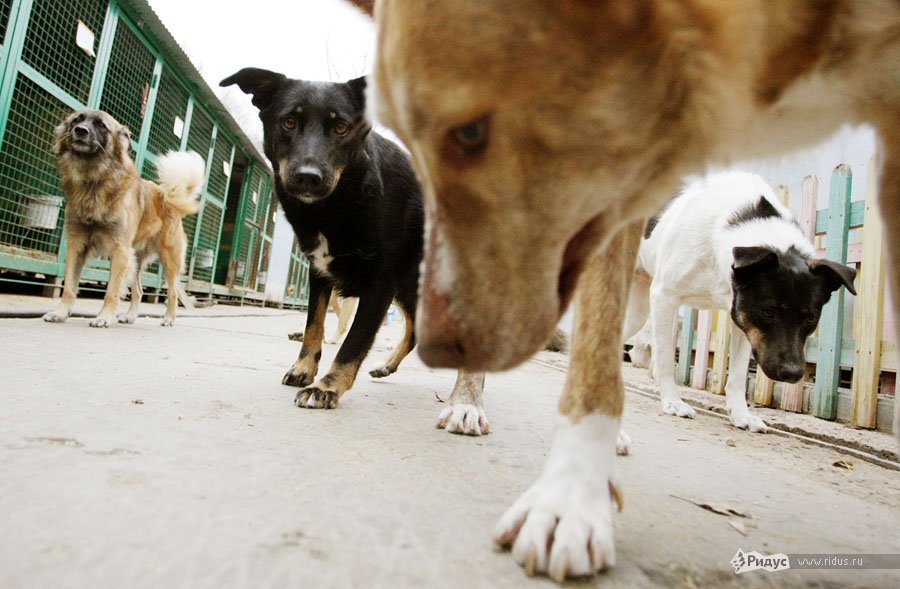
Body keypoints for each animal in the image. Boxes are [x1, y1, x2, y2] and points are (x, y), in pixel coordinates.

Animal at [44, 109, 205, 328]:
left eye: (101, 125)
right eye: (77, 119)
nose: (80, 130)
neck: (93, 181)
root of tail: (165, 195)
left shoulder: (119, 249)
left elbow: (111, 291)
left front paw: (104, 317)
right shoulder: (76, 245)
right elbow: (68, 286)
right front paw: (61, 313)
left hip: (169, 259)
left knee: (172, 292)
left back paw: (169, 318)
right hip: (135, 258)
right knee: (139, 290)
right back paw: (130, 316)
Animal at [219, 69, 488, 432]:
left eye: (341, 127)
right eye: (289, 122)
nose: (308, 177)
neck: (338, 201)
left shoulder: (379, 285)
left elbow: (353, 342)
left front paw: (327, 387)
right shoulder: (319, 273)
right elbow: (313, 327)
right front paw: (304, 369)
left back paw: (466, 404)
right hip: (409, 289)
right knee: (415, 330)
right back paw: (388, 366)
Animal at [624, 170, 856, 432]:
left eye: (811, 317)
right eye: (768, 311)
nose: (793, 373)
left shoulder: (744, 318)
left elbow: (736, 375)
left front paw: (740, 415)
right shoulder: (664, 297)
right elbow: (664, 360)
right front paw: (673, 402)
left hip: (638, 312)